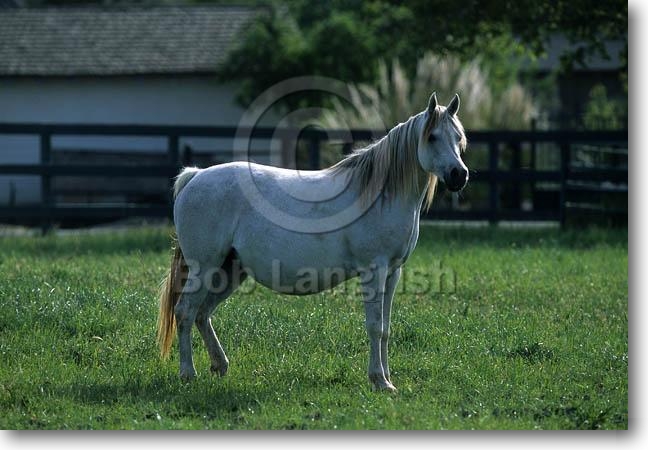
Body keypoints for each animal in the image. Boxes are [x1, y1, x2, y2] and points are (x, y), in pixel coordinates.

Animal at [157, 92, 468, 392]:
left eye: (458, 138)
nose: (459, 175)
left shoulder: (393, 272)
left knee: (202, 314)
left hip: (230, 270)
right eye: (432, 136)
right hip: (204, 268)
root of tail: (196, 176)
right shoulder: (374, 270)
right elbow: (375, 326)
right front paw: (379, 380)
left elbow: (386, 329)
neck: (378, 194)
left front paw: (388, 379)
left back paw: (219, 365)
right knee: (185, 312)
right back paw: (188, 373)